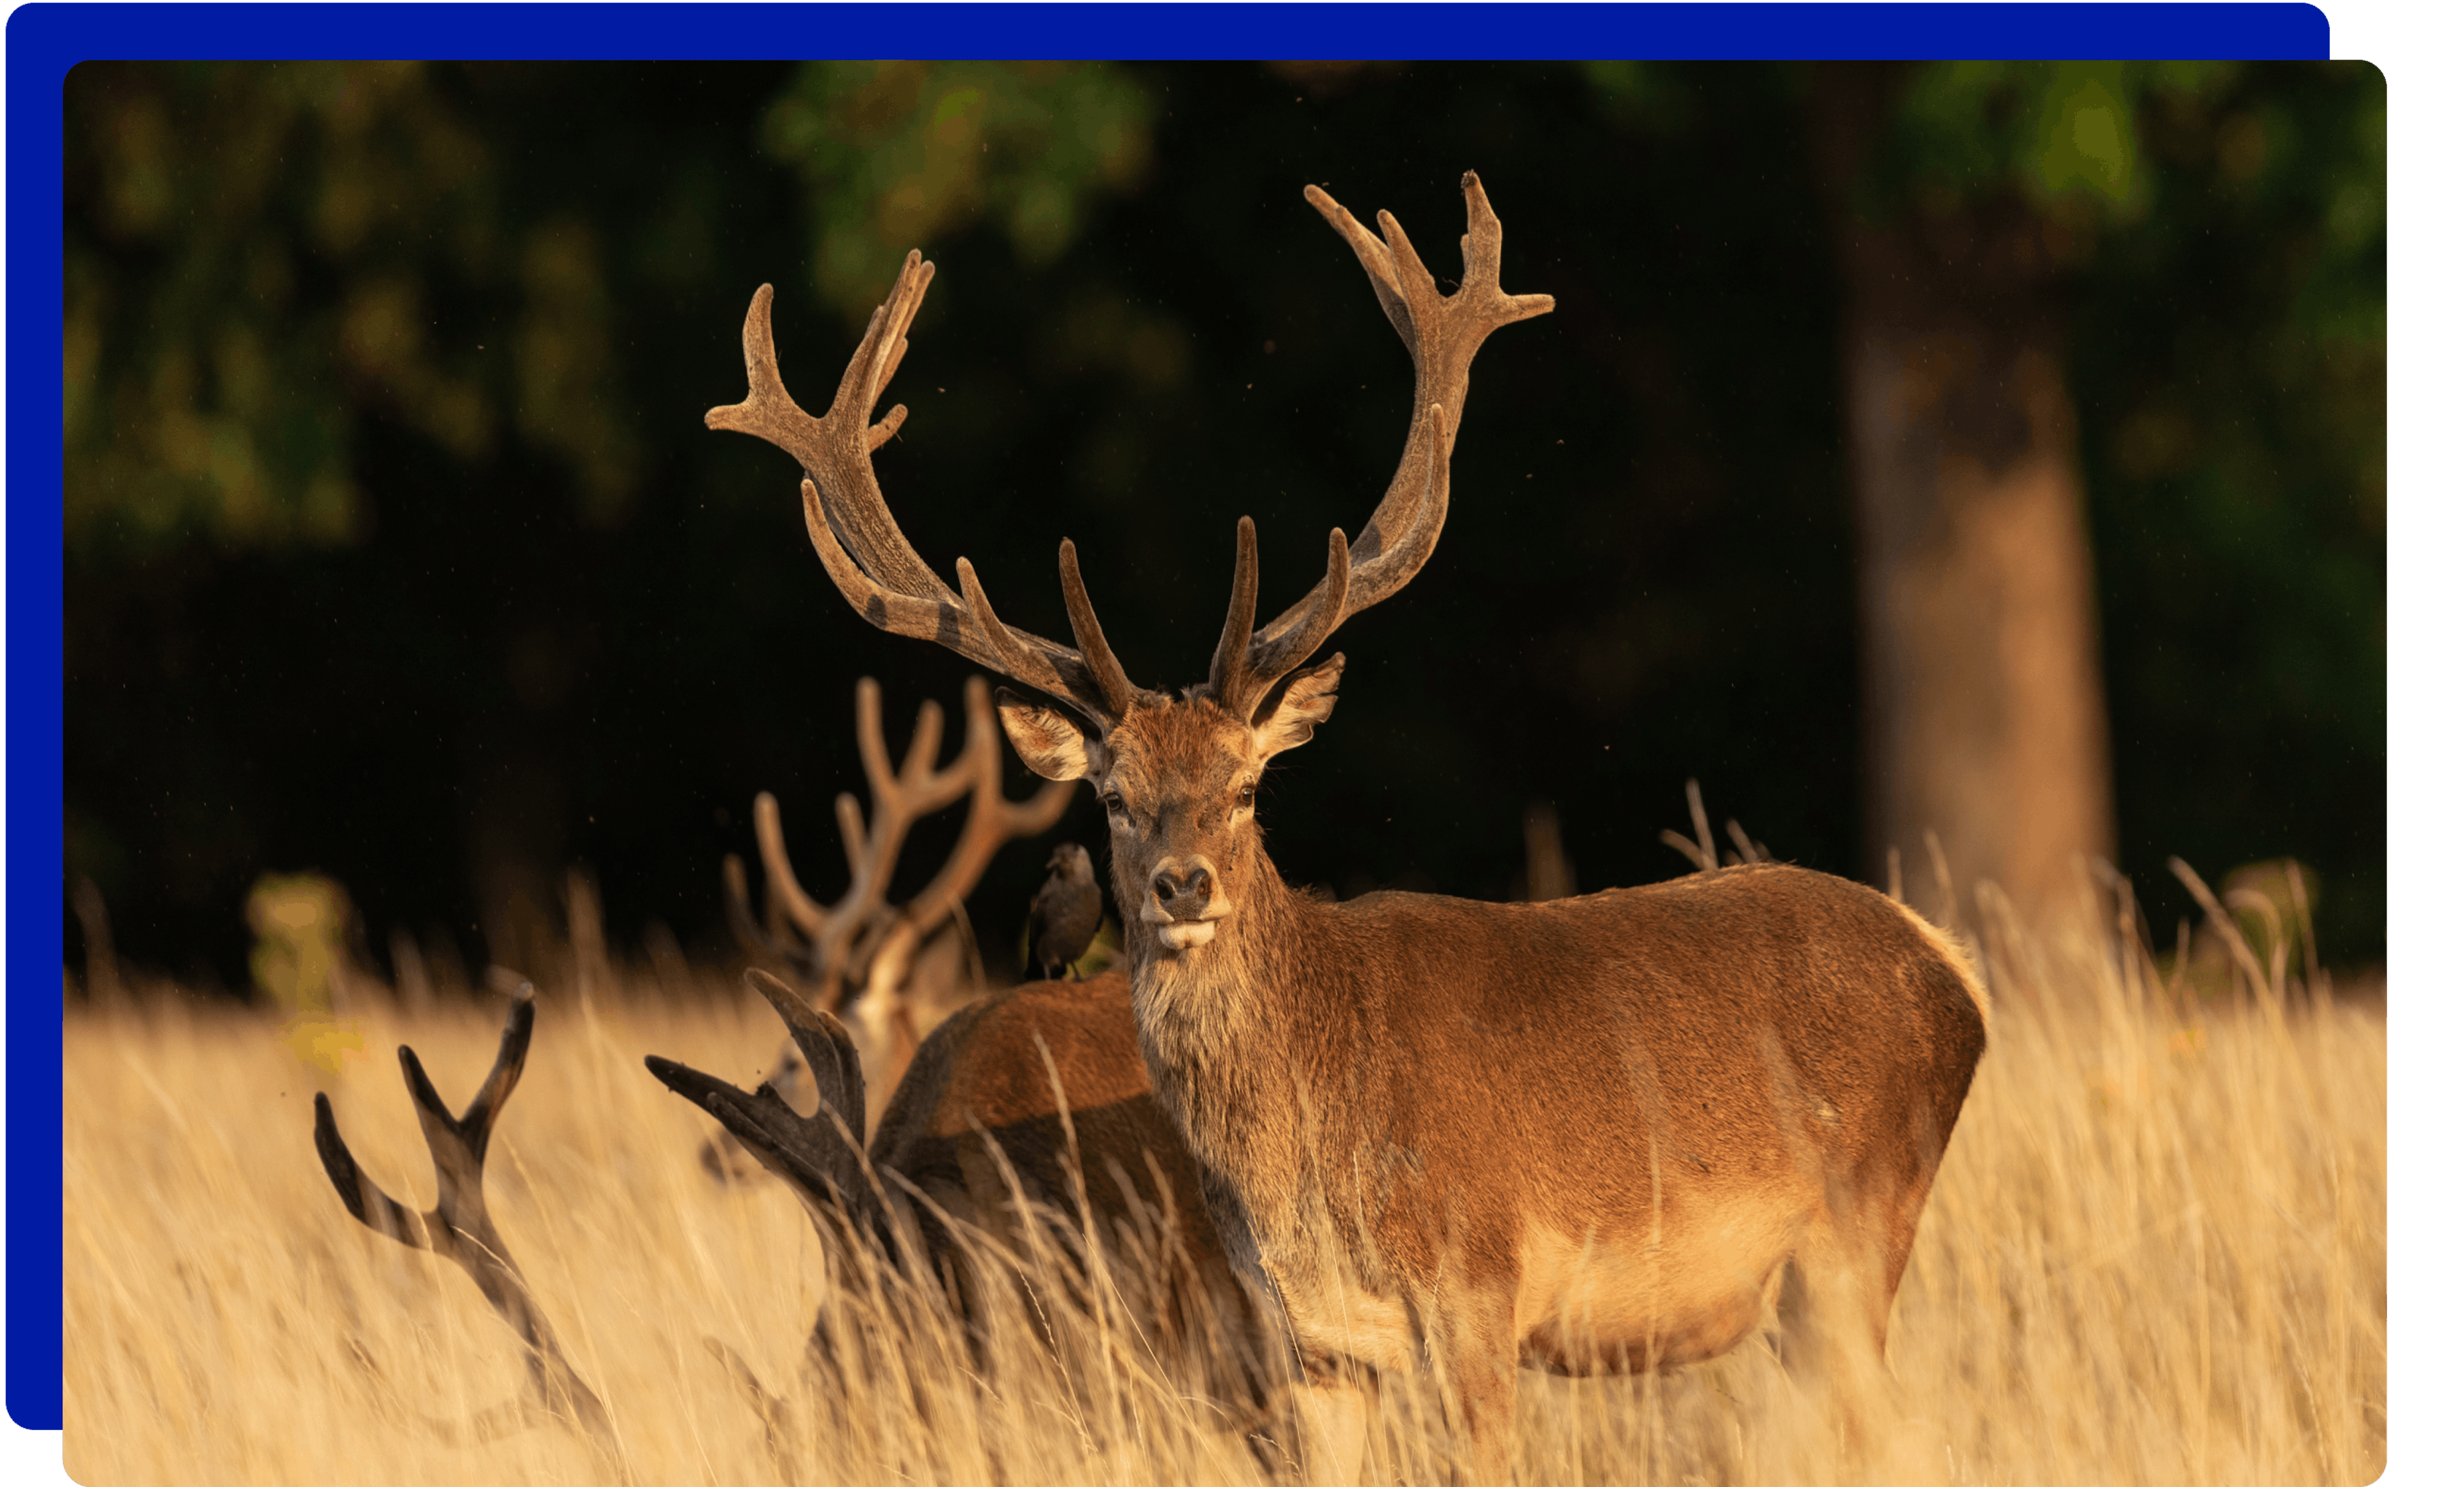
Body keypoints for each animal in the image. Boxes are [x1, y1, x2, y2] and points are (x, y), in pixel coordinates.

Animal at [704, 170, 1992, 1485]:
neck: (1312, 1162)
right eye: (1111, 796)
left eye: (1246, 786)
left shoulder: (1481, 1284)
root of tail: (1952, 967)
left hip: (1859, 1226)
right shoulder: (1313, 1344)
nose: (1182, 883)